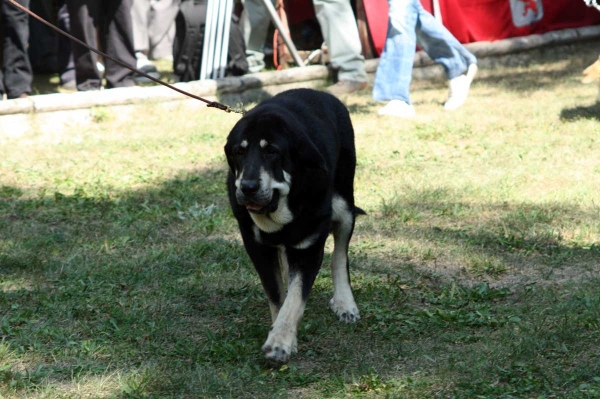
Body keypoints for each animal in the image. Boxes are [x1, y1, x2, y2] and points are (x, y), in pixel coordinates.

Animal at [225, 89, 364, 364]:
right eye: (239, 151)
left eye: (272, 152)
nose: (247, 187)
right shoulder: (258, 249)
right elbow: (278, 295)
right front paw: (282, 335)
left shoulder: (309, 248)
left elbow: (296, 295)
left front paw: (279, 343)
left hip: (344, 204)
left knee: (340, 256)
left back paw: (345, 302)